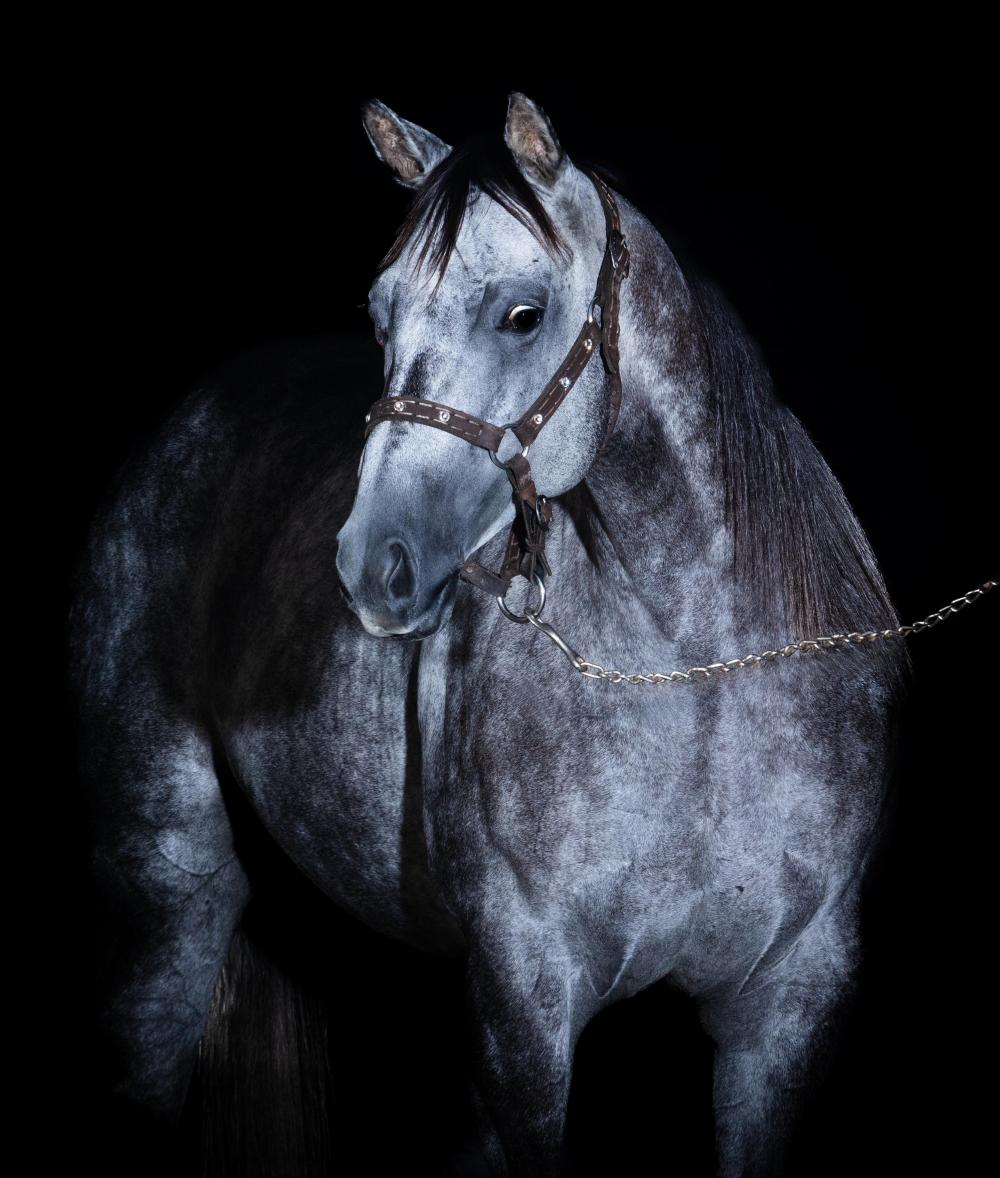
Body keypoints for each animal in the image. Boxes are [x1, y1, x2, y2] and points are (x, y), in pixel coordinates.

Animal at [66, 91, 912, 1176]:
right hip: (166, 893)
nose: (373, 563)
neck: (700, 686)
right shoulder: (525, 999)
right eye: (379, 314)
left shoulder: (788, 1007)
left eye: (522, 314)